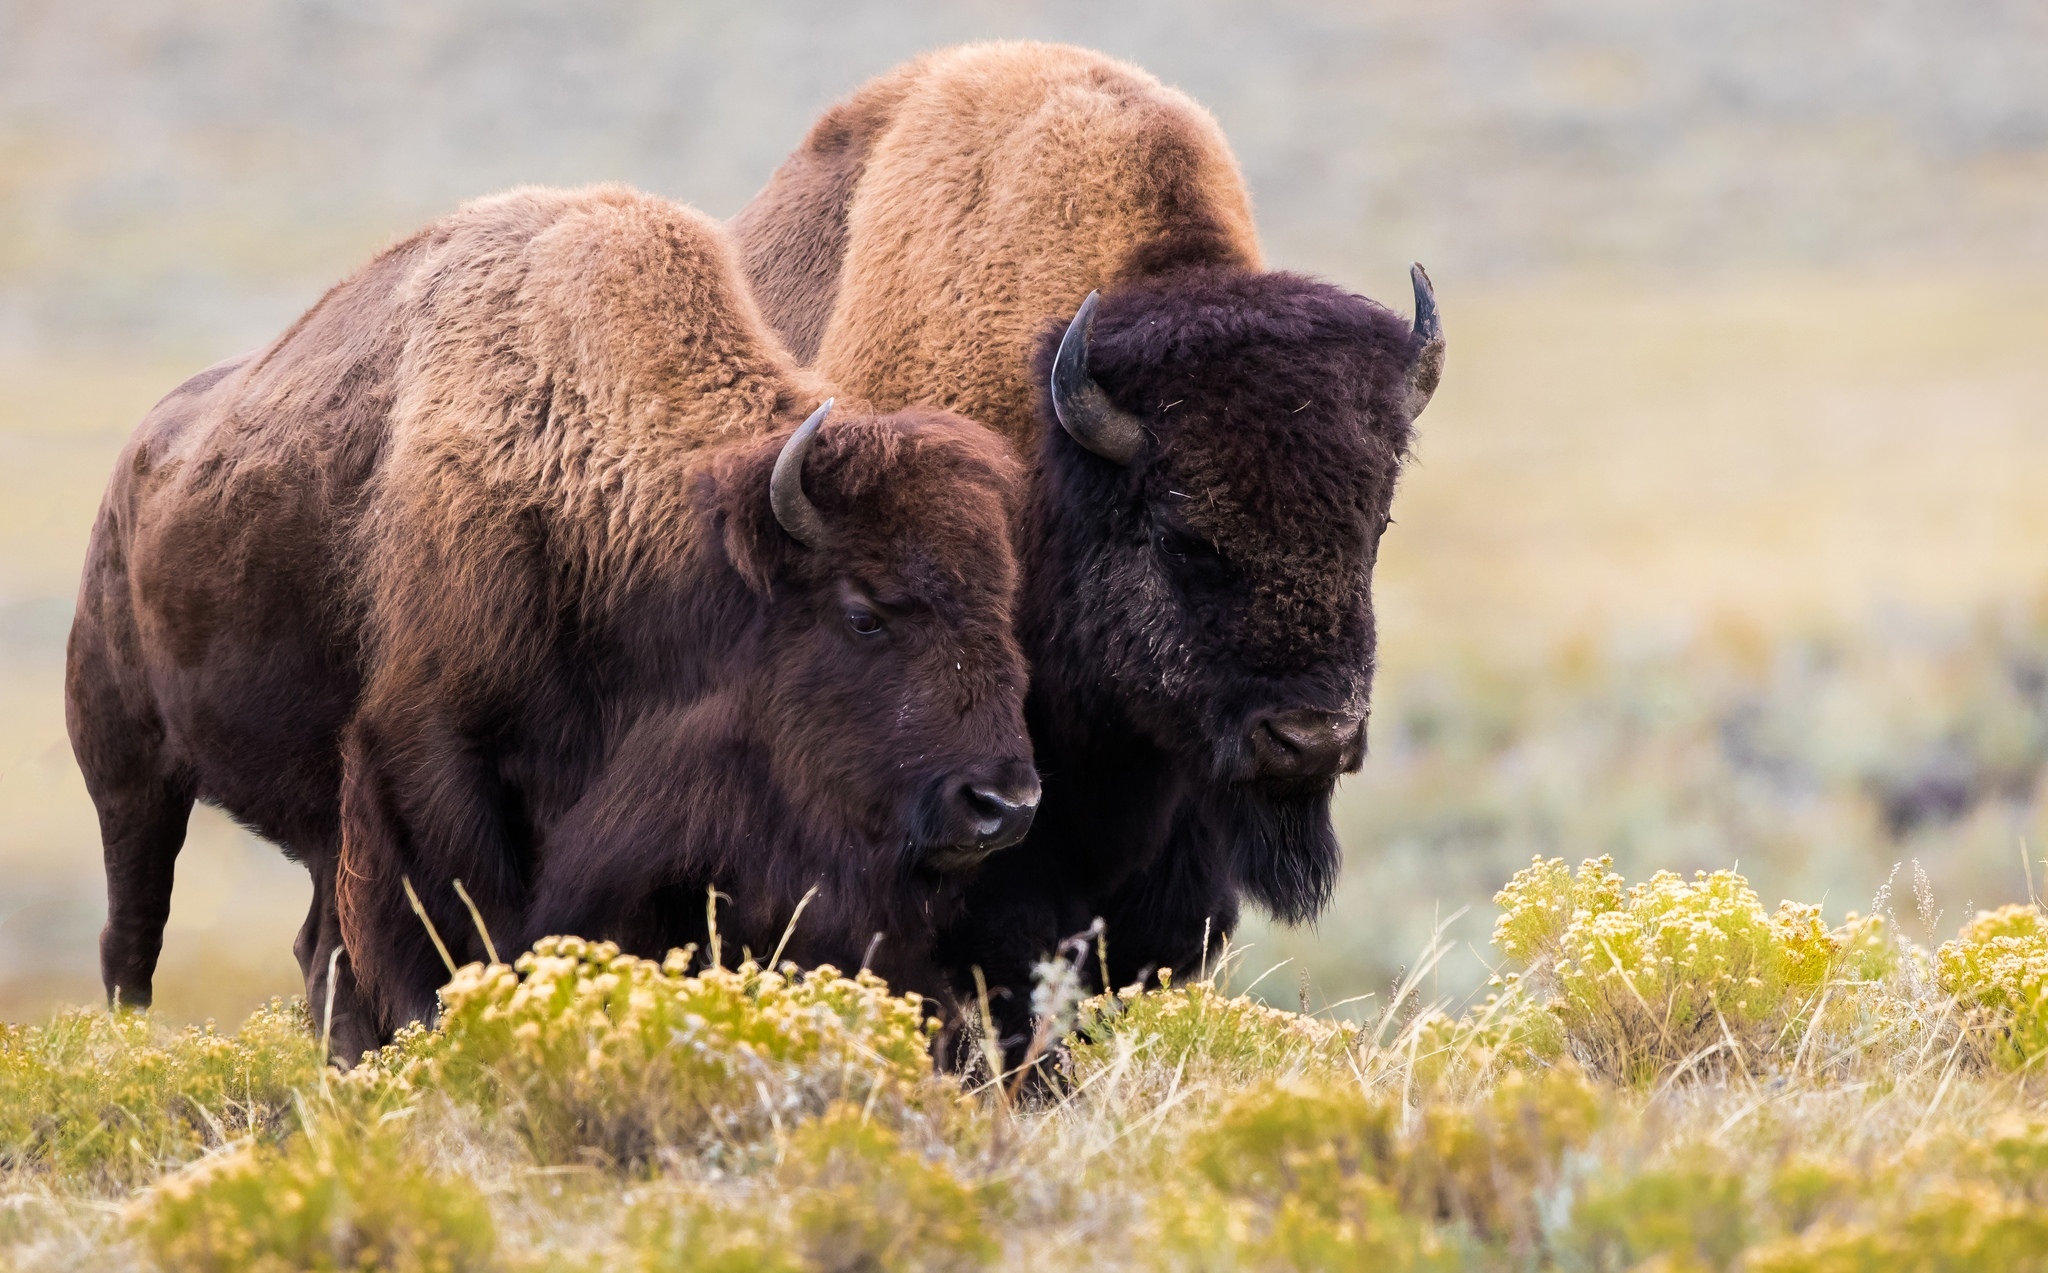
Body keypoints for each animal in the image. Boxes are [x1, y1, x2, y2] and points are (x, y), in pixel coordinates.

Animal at [66, 182, 1040, 1056]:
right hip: (130, 775)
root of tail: (129, 473)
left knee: (314, 947)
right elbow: (445, 944)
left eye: (1003, 603)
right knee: (134, 936)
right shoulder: (426, 764)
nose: (1005, 803)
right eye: (864, 613)